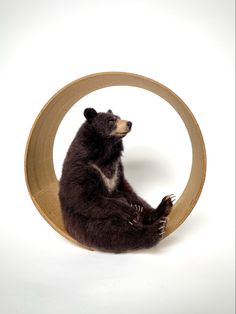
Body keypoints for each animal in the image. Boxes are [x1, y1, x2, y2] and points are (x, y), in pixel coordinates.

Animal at [58, 108, 174, 253]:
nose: (129, 123)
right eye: (111, 120)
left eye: (119, 117)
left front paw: (137, 208)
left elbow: (126, 188)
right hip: (85, 223)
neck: (105, 151)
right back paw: (154, 230)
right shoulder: (81, 167)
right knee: (112, 233)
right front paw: (131, 212)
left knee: (141, 204)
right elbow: (83, 197)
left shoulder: (117, 167)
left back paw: (164, 205)